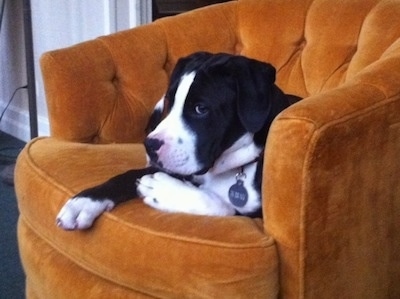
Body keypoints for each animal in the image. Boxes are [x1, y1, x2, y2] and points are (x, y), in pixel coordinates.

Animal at [56, 51, 300, 231]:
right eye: (169, 102)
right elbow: (127, 175)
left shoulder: (257, 217)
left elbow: (223, 205)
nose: (149, 145)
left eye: (201, 108)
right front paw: (84, 202)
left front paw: (162, 189)